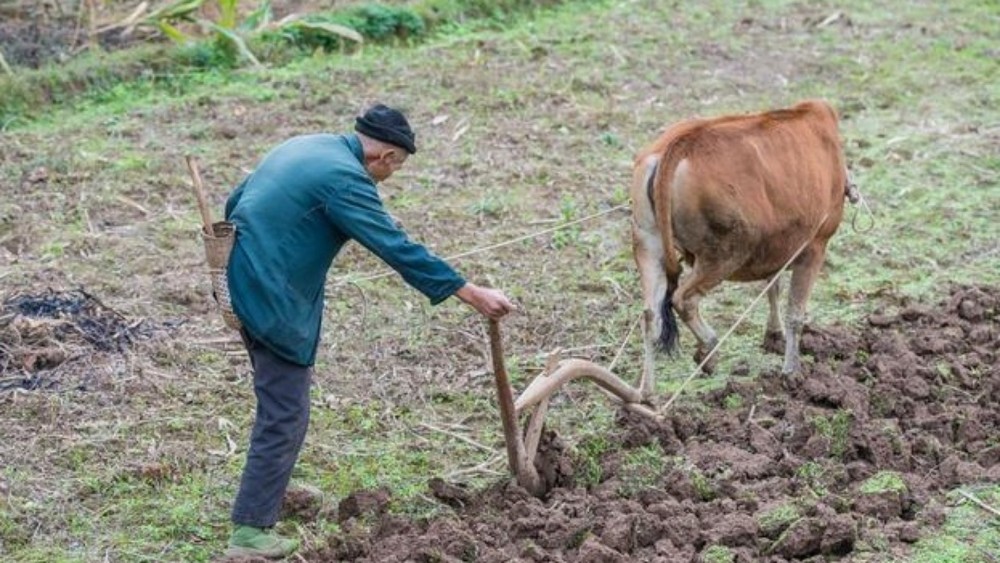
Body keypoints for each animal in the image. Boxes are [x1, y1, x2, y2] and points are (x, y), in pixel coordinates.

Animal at [628, 100, 848, 392]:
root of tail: (678, 146)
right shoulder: (814, 246)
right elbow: (795, 314)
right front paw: (792, 372)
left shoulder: (779, 245)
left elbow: (773, 287)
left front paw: (773, 337)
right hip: (723, 254)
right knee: (684, 299)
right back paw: (709, 350)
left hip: (648, 243)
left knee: (650, 316)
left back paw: (647, 392)